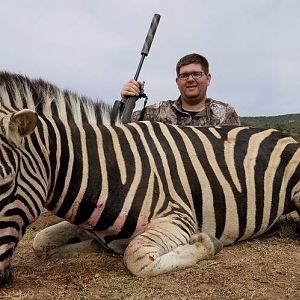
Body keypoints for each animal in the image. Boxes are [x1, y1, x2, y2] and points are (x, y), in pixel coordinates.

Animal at [0, 71, 298, 284]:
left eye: (6, 181)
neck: (107, 174)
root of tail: (279, 132)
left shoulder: (178, 217)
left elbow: (136, 257)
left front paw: (206, 242)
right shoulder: (86, 224)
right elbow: (40, 242)